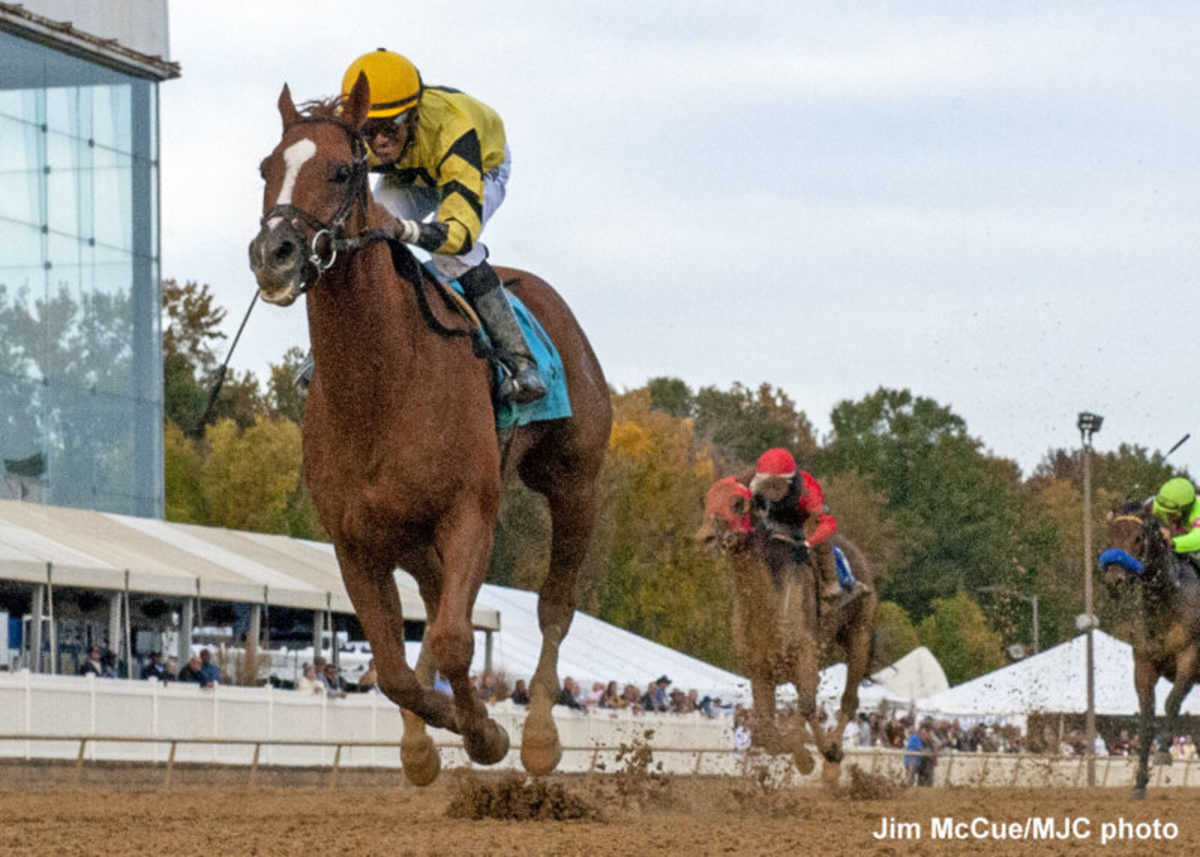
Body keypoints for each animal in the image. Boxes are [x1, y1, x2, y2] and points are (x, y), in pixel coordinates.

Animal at [249, 78, 614, 782]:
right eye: (265, 168)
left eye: (342, 170)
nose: (273, 256)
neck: (382, 382)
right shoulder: (355, 539)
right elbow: (392, 669)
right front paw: (435, 736)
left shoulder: (470, 509)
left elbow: (451, 638)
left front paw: (487, 734)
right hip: (411, 532)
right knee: (436, 595)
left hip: (573, 483)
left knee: (553, 607)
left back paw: (537, 734)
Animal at [696, 477, 883, 772]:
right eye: (707, 500)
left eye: (737, 503)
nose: (706, 537)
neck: (765, 605)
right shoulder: (759, 667)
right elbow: (763, 731)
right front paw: (796, 749)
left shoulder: (804, 650)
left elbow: (805, 704)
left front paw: (814, 753)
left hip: (859, 634)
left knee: (848, 699)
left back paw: (833, 746)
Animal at [1099, 504, 1200, 796]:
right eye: (1110, 537)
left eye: (1137, 538)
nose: (1115, 579)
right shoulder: (1144, 663)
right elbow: (1146, 718)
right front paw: (1140, 782)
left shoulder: (1190, 657)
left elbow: (1172, 702)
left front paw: (1164, 751)